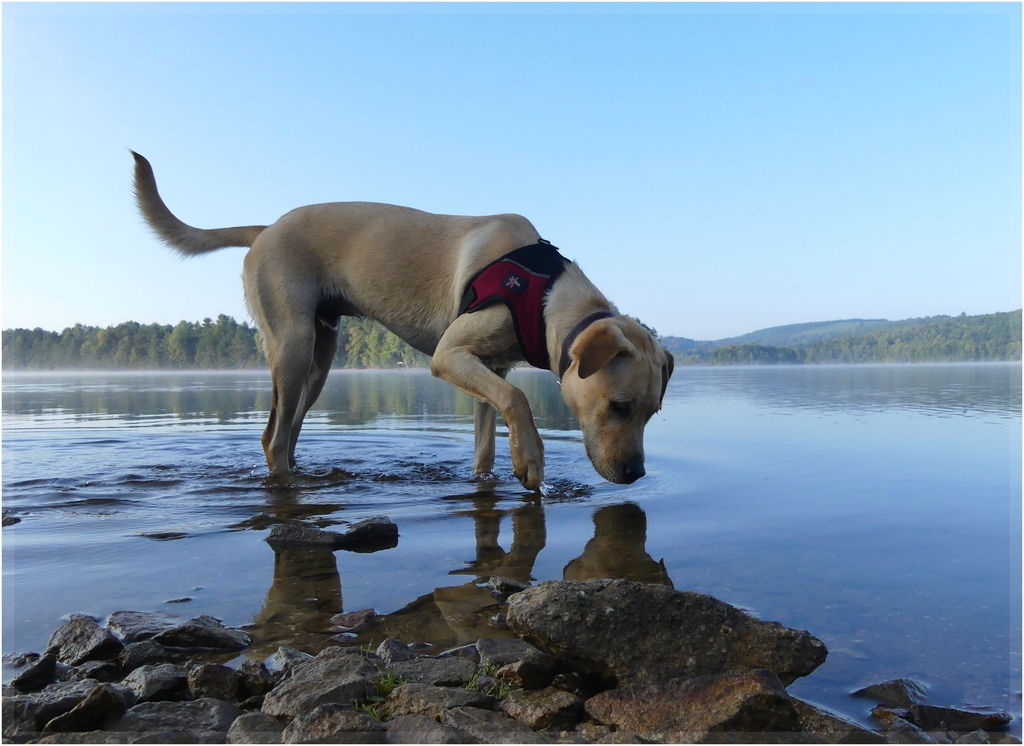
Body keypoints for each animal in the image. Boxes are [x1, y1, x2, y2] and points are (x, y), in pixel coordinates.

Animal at [132, 151, 675, 489]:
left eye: (652, 413)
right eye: (620, 406)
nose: (635, 475)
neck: (544, 295)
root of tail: (264, 229)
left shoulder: (489, 369)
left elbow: (487, 441)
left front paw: (496, 472)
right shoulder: (449, 356)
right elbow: (519, 400)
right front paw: (531, 460)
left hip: (319, 359)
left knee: (287, 435)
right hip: (293, 346)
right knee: (273, 439)